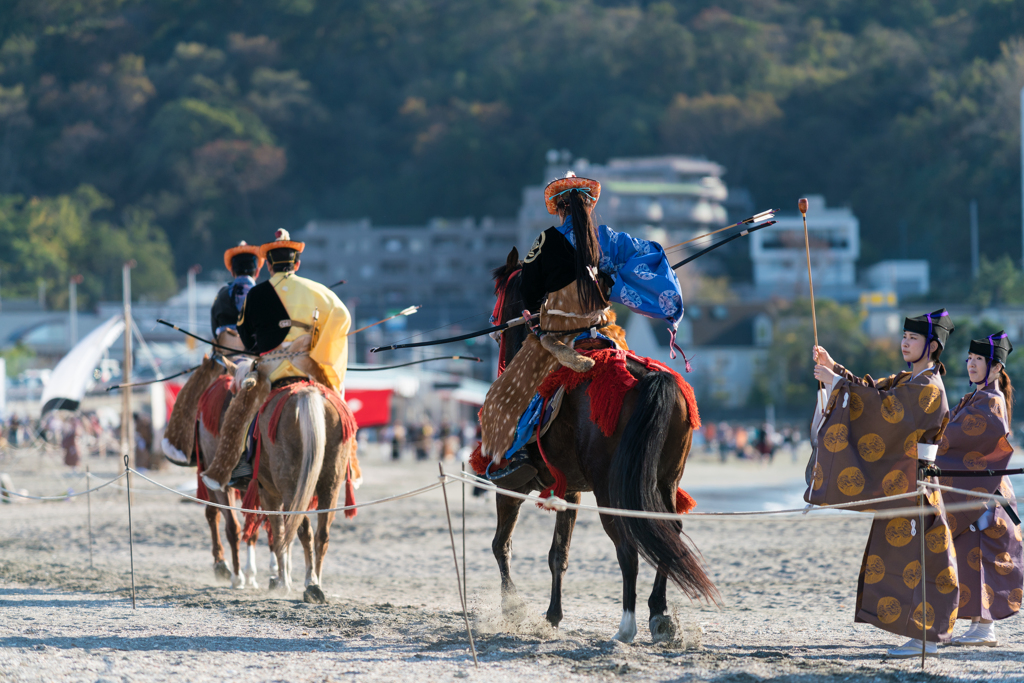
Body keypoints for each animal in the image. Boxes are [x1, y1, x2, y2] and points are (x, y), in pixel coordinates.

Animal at [163, 354, 273, 588]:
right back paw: (224, 566)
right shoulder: (222, 482)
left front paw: (252, 574)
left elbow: (254, 527)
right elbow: (233, 526)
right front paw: (239, 575)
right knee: (215, 515)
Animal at [484, 248, 718, 643]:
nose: (494, 328)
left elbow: (502, 545)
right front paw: (552, 615)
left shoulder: (511, 486)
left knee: (628, 546)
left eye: (498, 297)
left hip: (611, 487)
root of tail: (652, 379)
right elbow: (558, 553)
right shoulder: (570, 489)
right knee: (667, 533)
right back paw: (659, 614)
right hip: (665, 480)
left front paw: (512, 609)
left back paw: (627, 624)